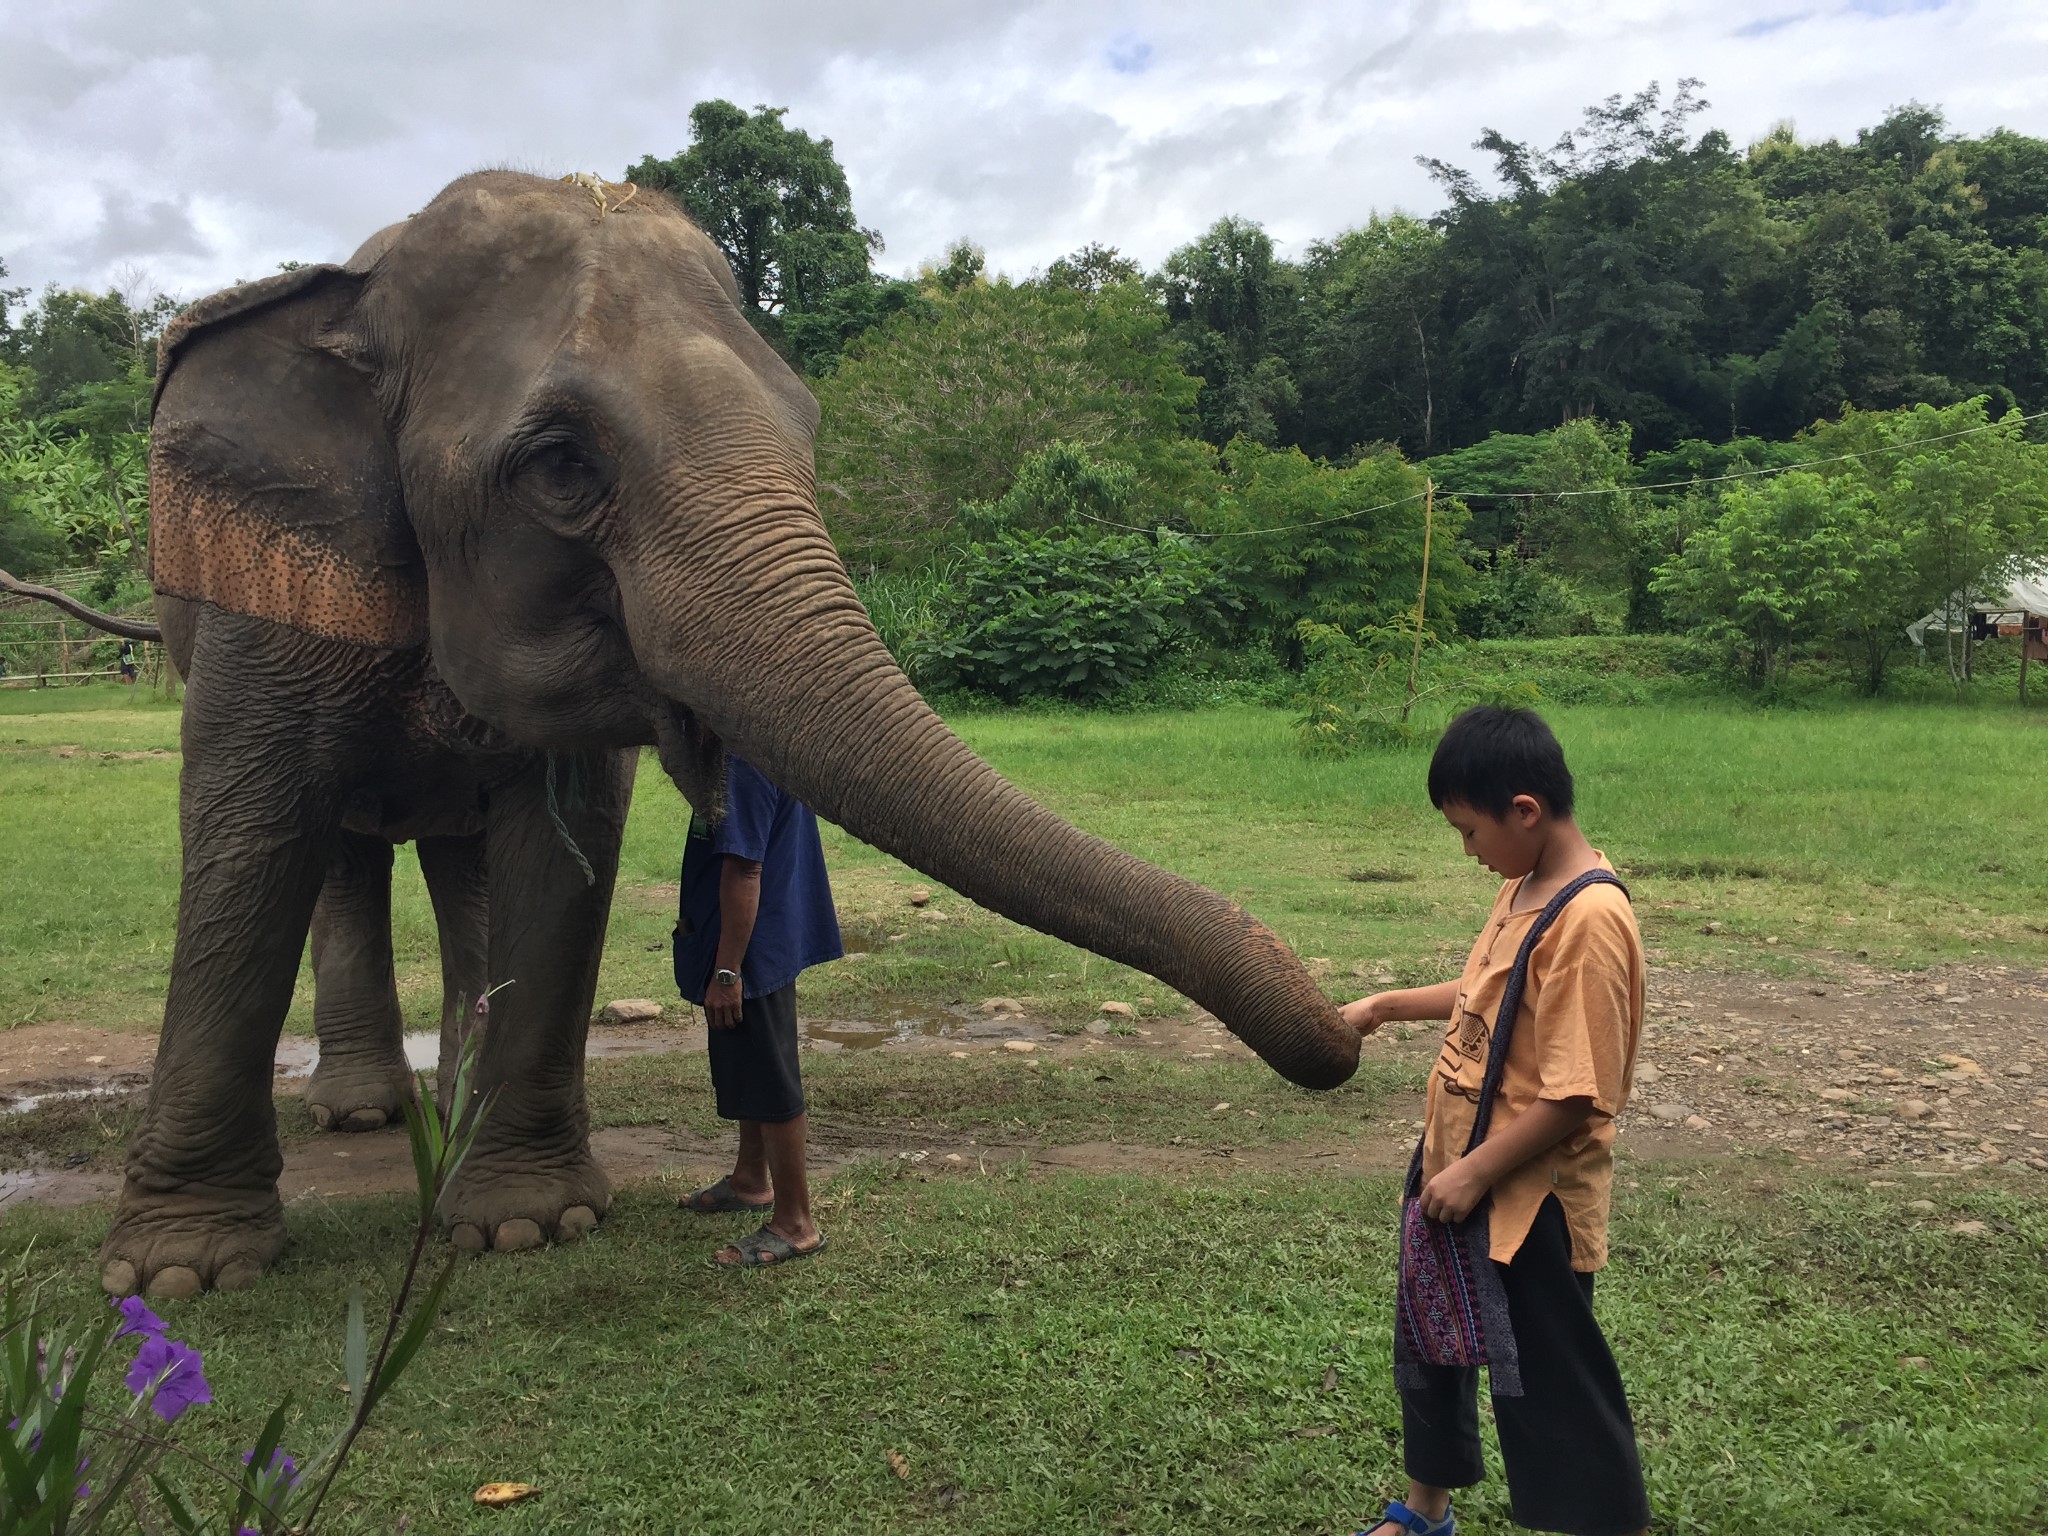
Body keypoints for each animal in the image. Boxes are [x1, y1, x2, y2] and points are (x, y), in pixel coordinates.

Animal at [108, 165, 1359, 1302]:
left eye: (806, 427)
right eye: (560, 463)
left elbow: (561, 858)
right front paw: (179, 1273)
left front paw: (526, 1226)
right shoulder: (264, 596)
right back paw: (362, 1111)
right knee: (342, 854)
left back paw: (452, 1109)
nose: (1345, 1040)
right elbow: (252, 837)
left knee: (462, 862)